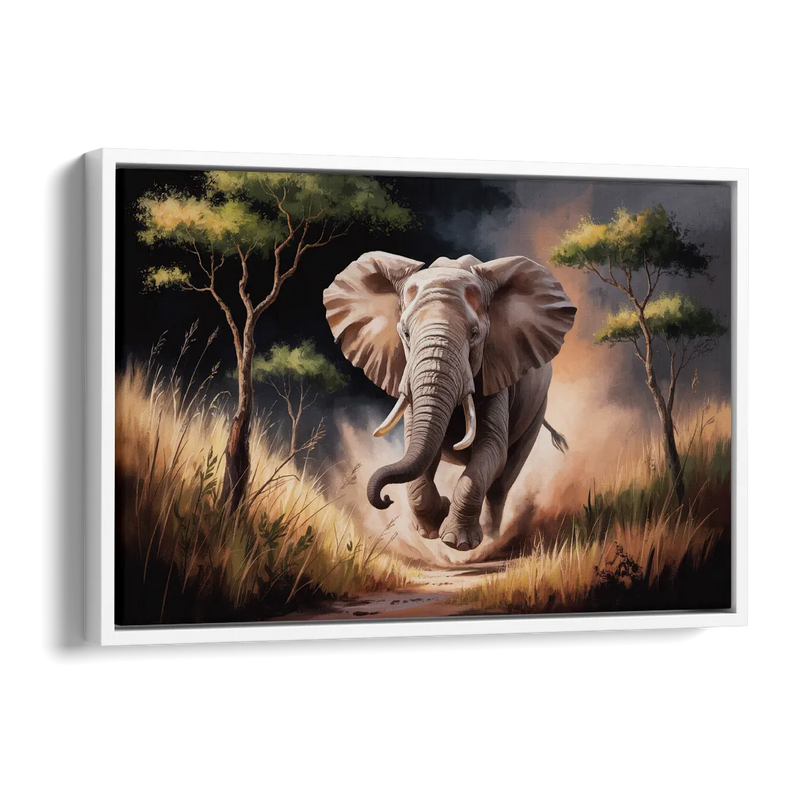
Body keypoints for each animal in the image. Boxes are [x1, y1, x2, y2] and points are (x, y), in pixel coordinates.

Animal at [323, 251, 576, 551]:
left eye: (474, 334)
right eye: (405, 333)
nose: (385, 499)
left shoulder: (497, 372)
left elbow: (492, 449)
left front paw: (458, 543)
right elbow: (418, 447)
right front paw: (432, 526)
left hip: (536, 409)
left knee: (502, 481)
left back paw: (491, 539)